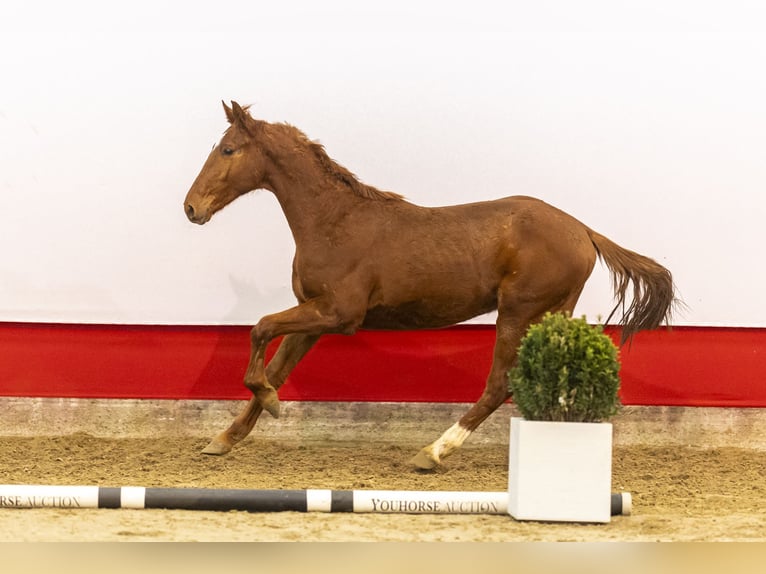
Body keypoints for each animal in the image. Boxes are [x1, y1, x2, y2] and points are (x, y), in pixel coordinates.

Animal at [183, 102, 676, 472]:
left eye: (227, 149)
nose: (191, 207)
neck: (334, 222)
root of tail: (586, 231)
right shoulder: (313, 315)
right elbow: (278, 365)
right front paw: (224, 438)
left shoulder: (340, 313)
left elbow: (261, 329)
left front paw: (269, 401)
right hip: (551, 313)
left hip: (518, 311)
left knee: (499, 383)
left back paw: (433, 452)